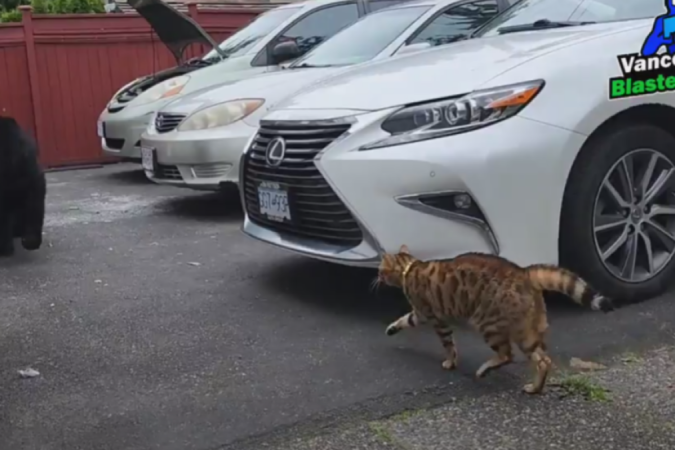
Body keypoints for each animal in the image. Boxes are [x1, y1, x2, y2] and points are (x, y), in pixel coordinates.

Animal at [378, 246, 616, 394]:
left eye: (380, 270)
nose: (377, 277)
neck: (410, 268)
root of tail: (524, 272)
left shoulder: (434, 317)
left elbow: (448, 345)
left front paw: (450, 361)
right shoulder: (420, 314)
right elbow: (404, 320)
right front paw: (391, 328)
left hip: (488, 324)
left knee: (508, 355)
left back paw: (485, 370)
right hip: (529, 331)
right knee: (544, 360)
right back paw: (536, 387)